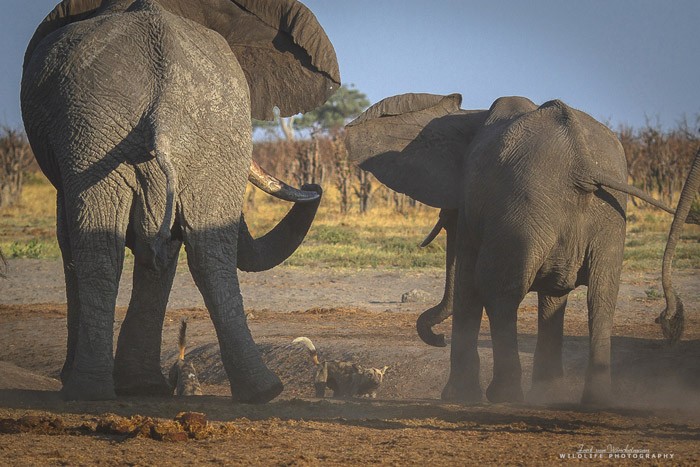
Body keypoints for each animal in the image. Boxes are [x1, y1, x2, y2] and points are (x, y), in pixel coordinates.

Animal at [21, 0, 340, 402]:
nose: (315, 183)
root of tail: (164, 105)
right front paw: (139, 386)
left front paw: (133, 385)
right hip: (192, 131)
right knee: (207, 254)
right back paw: (261, 391)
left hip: (101, 133)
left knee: (102, 248)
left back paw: (88, 391)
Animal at [346, 92, 700, 406]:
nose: (438, 338)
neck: (471, 116)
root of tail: (583, 161)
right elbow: (555, 294)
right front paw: (547, 395)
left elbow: (469, 282)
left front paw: (458, 397)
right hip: (607, 214)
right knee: (601, 296)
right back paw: (593, 401)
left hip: (526, 206)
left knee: (499, 290)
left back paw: (504, 396)